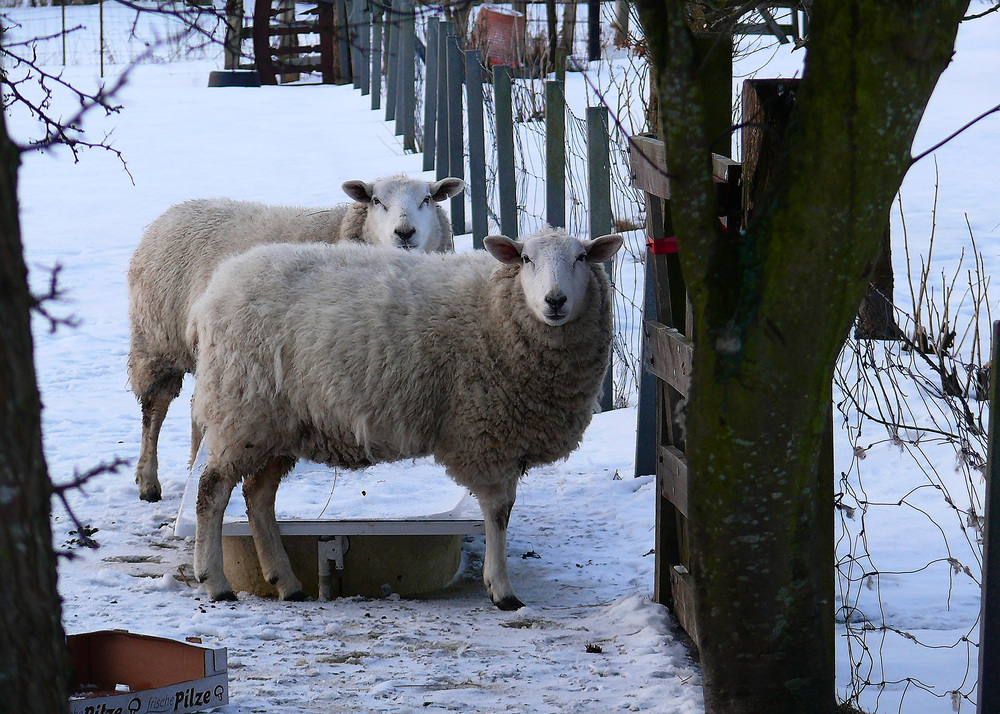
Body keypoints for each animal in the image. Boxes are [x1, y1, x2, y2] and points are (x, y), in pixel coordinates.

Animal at [127, 172, 466, 500]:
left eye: (427, 199)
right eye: (376, 200)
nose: (405, 233)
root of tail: (171, 213)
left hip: (218, 364)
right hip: (158, 342)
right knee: (154, 411)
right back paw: (148, 481)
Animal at [185, 228, 620, 608]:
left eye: (582, 257)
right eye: (527, 259)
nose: (555, 300)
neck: (494, 309)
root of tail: (215, 290)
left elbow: (504, 512)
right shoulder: (485, 434)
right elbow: (498, 513)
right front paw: (502, 591)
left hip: (281, 424)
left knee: (258, 497)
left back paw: (286, 583)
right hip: (240, 410)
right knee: (213, 492)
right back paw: (216, 583)